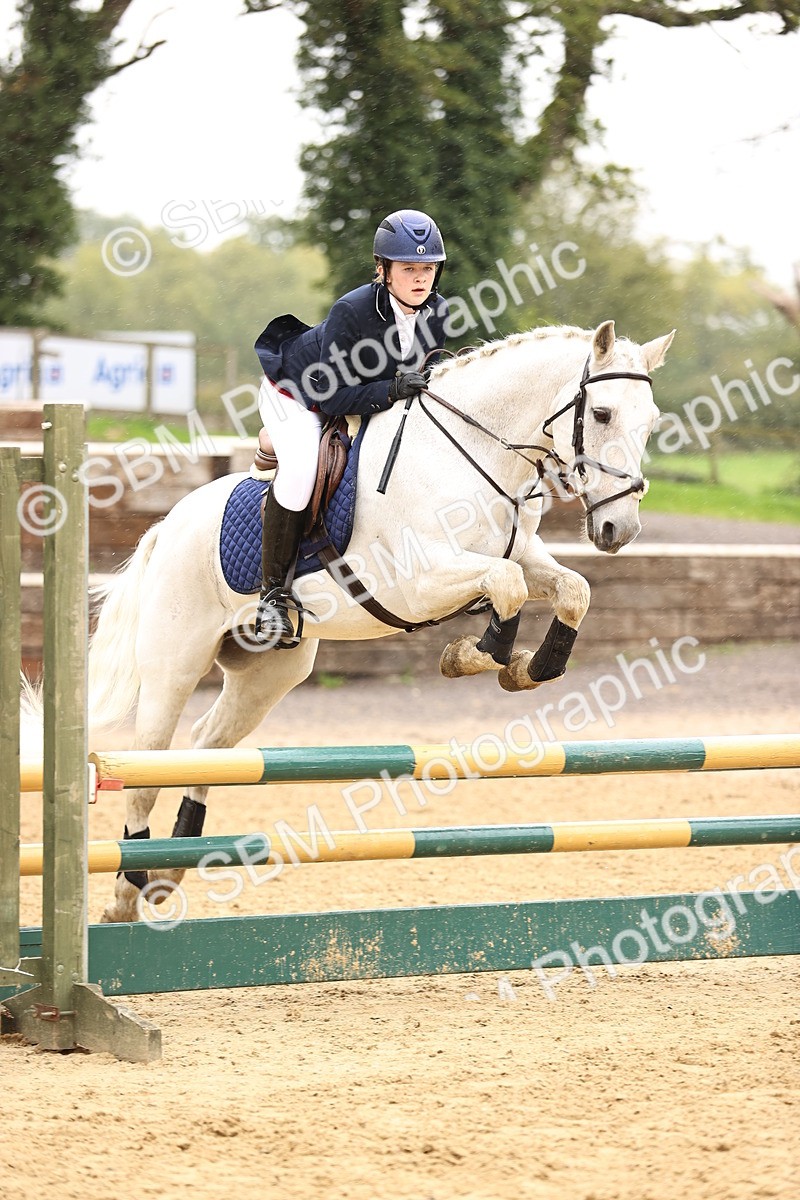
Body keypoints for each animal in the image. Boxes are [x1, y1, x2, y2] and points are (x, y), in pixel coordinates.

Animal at [84, 318, 674, 922]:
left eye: (651, 421)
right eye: (600, 413)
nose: (619, 529)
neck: (472, 452)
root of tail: (167, 526)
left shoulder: (522, 555)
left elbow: (571, 590)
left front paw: (528, 668)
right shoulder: (420, 582)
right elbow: (505, 586)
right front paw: (473, 655)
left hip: (269, 673)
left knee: (206, 747)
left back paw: (171, 868)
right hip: (174, 666)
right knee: (145, 770)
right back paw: (128, 893)